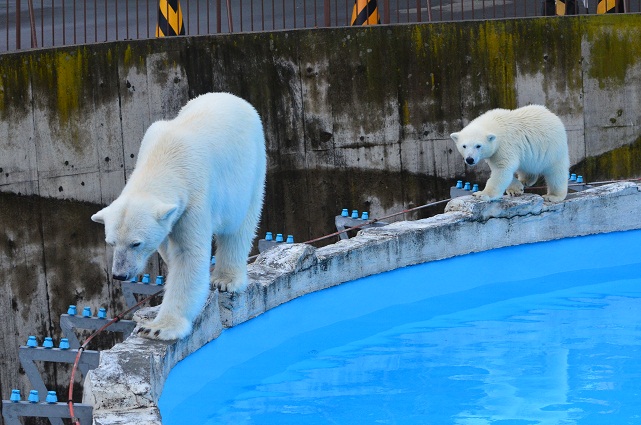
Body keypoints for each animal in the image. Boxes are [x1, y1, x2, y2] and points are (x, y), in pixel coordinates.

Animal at [90, 93, 264, 342]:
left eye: (136, 243)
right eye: (111, 242)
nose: (120, 274)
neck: (164, 158)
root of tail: (232, 97)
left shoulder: (195, 196)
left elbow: (188, 253)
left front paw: (157, 328)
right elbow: (167, 243)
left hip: (252, 166)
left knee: (239, 227)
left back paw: (226, 279)